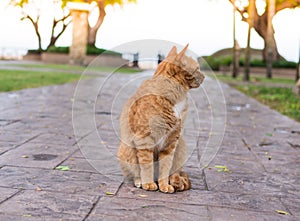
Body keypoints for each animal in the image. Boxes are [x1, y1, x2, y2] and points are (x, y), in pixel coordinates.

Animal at [117, 45, 204, 193]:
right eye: (197, 68)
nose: (204, 76)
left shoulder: (172, 141)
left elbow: (165, 166)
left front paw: (164, 185)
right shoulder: (145, 138)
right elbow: (147, 165)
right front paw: (148, 183)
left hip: (181, 144)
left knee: (176, 172)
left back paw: (175, 181)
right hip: (126, 149)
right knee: (134, 174)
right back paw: (140, 181)